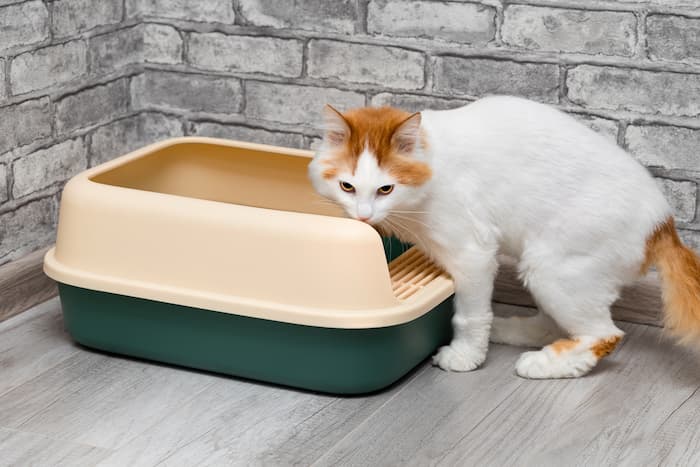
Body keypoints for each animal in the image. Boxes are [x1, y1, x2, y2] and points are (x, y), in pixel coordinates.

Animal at [308, 96, 700, 380]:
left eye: (386, 189)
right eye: (347, 186)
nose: (363, 216)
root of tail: (664, 223)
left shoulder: (474, 256)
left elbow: (469, 316)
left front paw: (465, 356)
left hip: (553, 269)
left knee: (604, 335)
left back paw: (544, 364)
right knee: (552, 325)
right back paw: (509, 330)